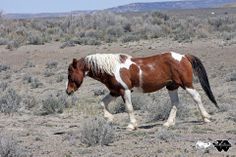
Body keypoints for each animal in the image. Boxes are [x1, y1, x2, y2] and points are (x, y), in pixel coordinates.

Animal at [65, 52, 218, 131]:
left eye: (70, 74)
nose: (68, 91)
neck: (112, 68)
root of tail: (184, 56)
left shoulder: (124, 91)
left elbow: (129, 108)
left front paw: (131, 125)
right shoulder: (115, 91)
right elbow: (102, 103)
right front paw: (110, 118)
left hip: (186, 84)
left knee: (197, 97)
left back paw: (206, 118)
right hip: (172, 86)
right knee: (175, 103)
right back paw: (168, 123)